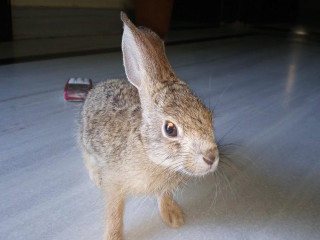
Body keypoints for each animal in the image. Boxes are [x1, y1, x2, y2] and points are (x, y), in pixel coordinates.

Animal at [79, 12, 220, 240]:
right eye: (170, 129)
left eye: (210, 117)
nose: (211, 158)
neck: (148, 150)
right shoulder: (114, 185)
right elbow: (114, 214)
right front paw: (113, 236)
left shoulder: (163, 187)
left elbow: (164, 195)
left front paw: (173, 217)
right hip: (86, 143)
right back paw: (95, 177)